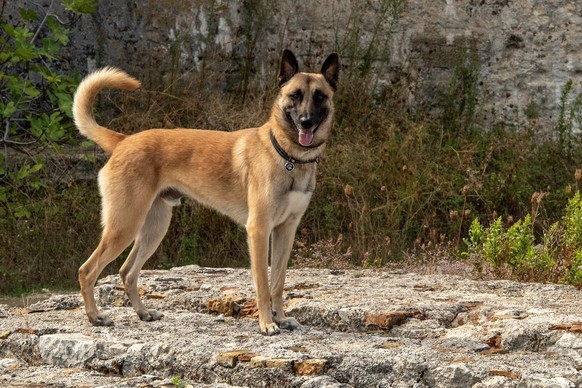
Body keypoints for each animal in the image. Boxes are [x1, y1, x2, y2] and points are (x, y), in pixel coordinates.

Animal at [73, 50, 340, 334]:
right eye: (295, 95)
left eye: (319, 96)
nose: (306, 122)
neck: (288, 156)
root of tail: (123, 140)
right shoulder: (259, 230)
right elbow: (263, 284)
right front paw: (267, 323)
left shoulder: (286, 230)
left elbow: (278, 281)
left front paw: (280, 317)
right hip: (124, 225)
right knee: (87, 270)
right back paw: (95, 316)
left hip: (153, 228)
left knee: (127, 271)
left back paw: (143, 312)